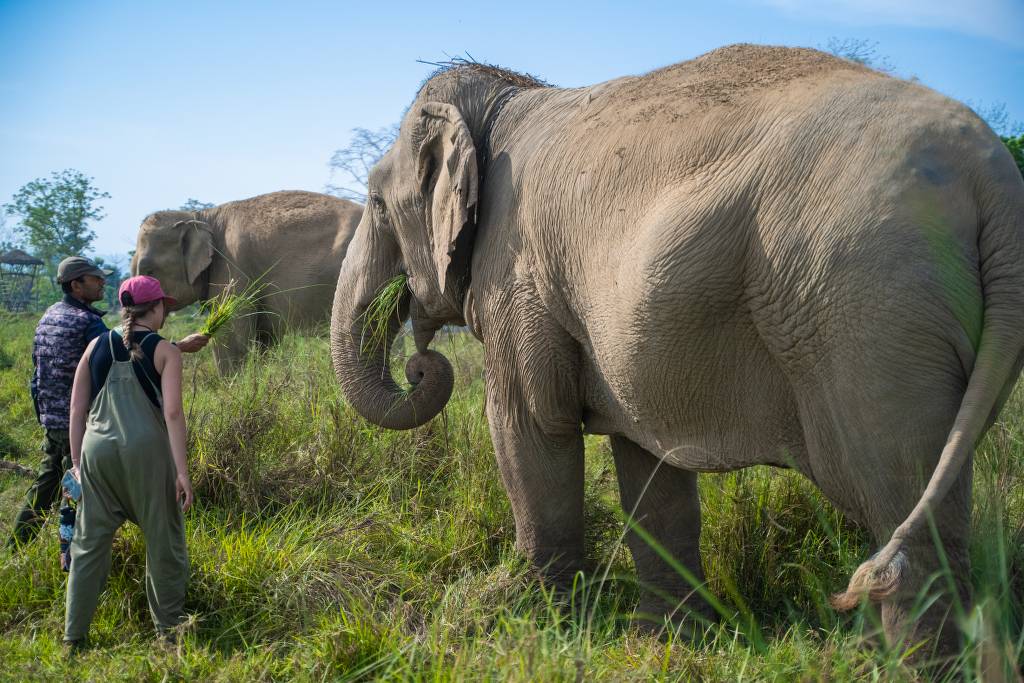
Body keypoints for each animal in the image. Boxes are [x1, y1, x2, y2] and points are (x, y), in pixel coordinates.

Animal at [133, 190, 360, 372]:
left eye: (148, 271)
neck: (200, 217)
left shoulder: (231, 266)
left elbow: (231, 337)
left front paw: (231, 388)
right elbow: (265, 338)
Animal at [329, 44, 1024, 653]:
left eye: (375, 204)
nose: (422, 364)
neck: (506, 96)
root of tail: (994, 178)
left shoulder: (520, 278)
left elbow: (530, 430)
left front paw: (543, 629)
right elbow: (647, 462)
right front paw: (666, 638)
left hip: (866, 312)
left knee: (898, 496)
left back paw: (907, 664)